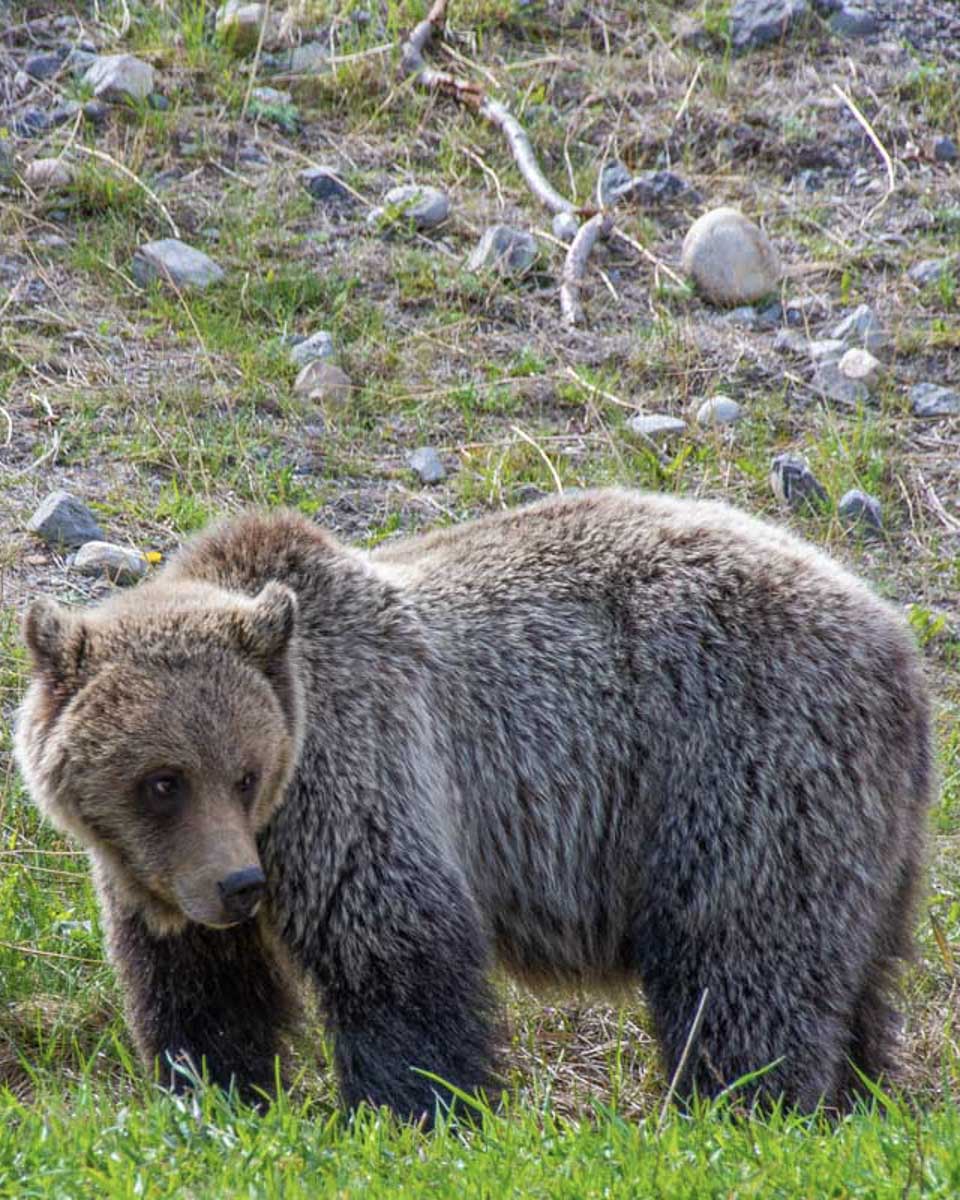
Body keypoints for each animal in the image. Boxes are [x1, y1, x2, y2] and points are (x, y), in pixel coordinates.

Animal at [14, 488, 932, 1123]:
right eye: (163, 780)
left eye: (245, 772)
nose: (239, 887)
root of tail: (895, 637)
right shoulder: (162, 878)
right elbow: (200, 991)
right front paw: (216, 1094)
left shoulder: (357, 772)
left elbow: (396, 947)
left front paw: (406, 1111)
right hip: (864, 837)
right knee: (853, 977)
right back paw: (853, 1100)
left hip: (744, 763)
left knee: (741, 957)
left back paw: (744, 1107)